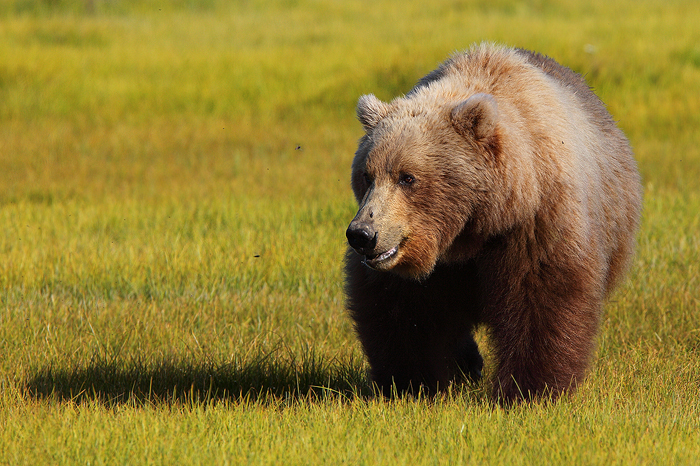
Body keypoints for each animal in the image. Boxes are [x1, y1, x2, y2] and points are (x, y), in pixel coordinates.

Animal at [344, 43, 642, 404]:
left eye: (407, 177)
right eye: (366, 174)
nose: (362, 234)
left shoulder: (534, 224)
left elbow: (541, 300)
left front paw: (528, 390)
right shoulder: (417, 259)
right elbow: (402, 312)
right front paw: (412, 383)